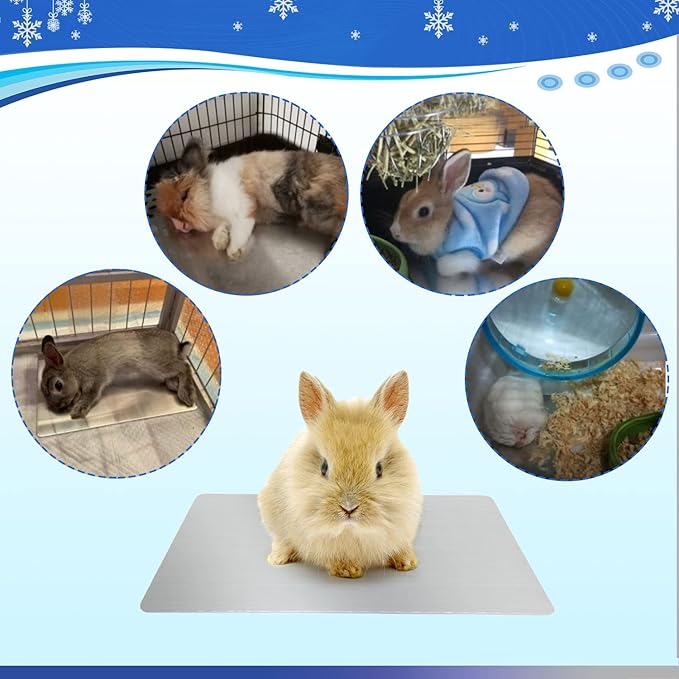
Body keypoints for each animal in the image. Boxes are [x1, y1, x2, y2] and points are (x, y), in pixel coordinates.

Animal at [40, 329, 195, 419]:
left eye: (58, 385)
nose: (58, 407)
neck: (72, 370)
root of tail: (176, 343)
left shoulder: (96, 378)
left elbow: (91, 395)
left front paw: (77, 411)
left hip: (158, 364)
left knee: (184, 366)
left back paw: (186, 394)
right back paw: (175, 385)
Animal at [154, 139, 348, 261]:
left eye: (184, 196)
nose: (179, 226)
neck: (210, 191)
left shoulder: (244, 207)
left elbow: (240, 229)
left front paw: (233, 251)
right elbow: (224, 226)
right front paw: (219, 241)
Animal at [257, 371, 422, 579]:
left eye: (379, 469)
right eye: (324, 467)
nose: (349, 508)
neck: (352, 531)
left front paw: (408, 562)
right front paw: (348, 570)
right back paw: (277, 558)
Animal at [389, 149, 563, 294]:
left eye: (423, 211)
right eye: (404, 197)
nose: (394, 231)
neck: (448, 223)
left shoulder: (469, 251)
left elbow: (445, 267)